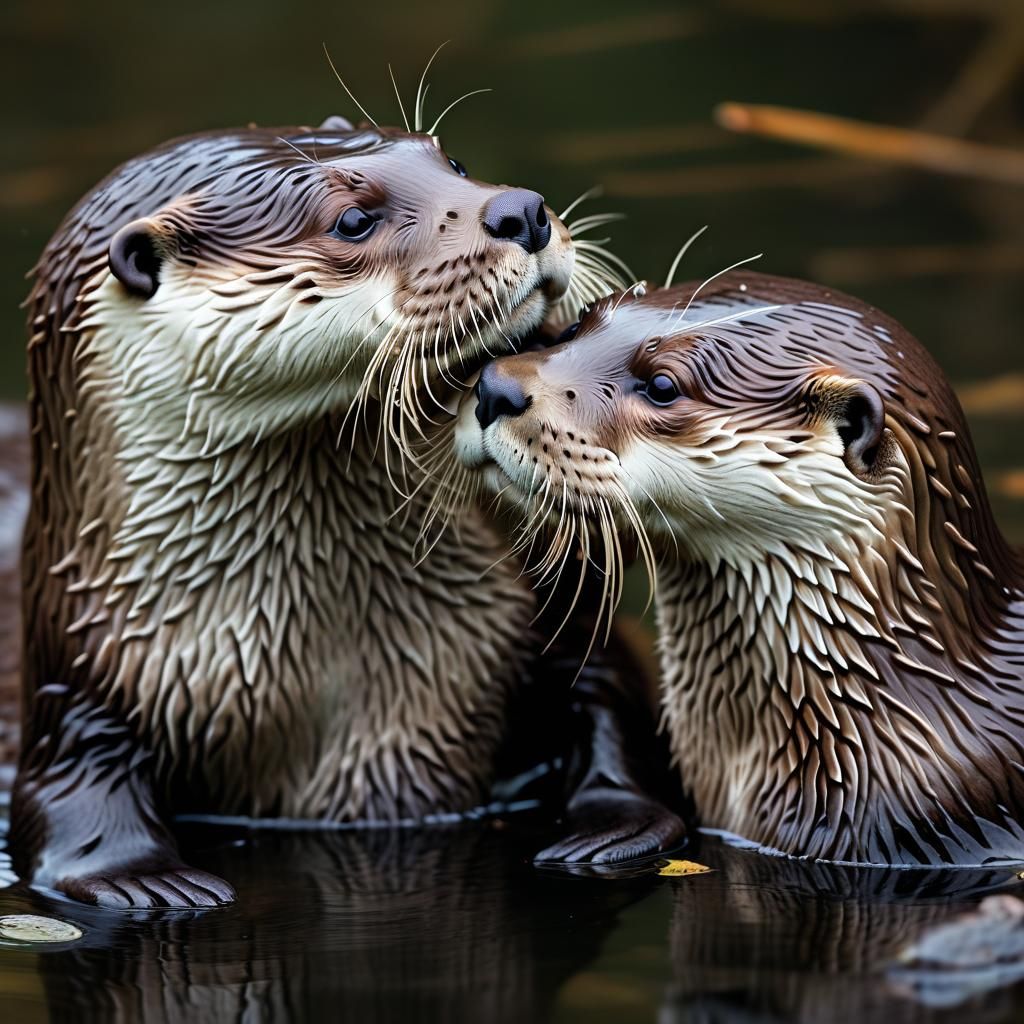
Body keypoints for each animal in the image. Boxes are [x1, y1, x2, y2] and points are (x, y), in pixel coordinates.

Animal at [11, 117, 683, 909]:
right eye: (353, 221)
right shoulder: (79, 690)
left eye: (454, 162)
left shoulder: (551, 617)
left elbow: (612, 705)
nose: (521, 210)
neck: (341, 672)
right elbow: (66, 805)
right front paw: (145, 881)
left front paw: (612, 824)